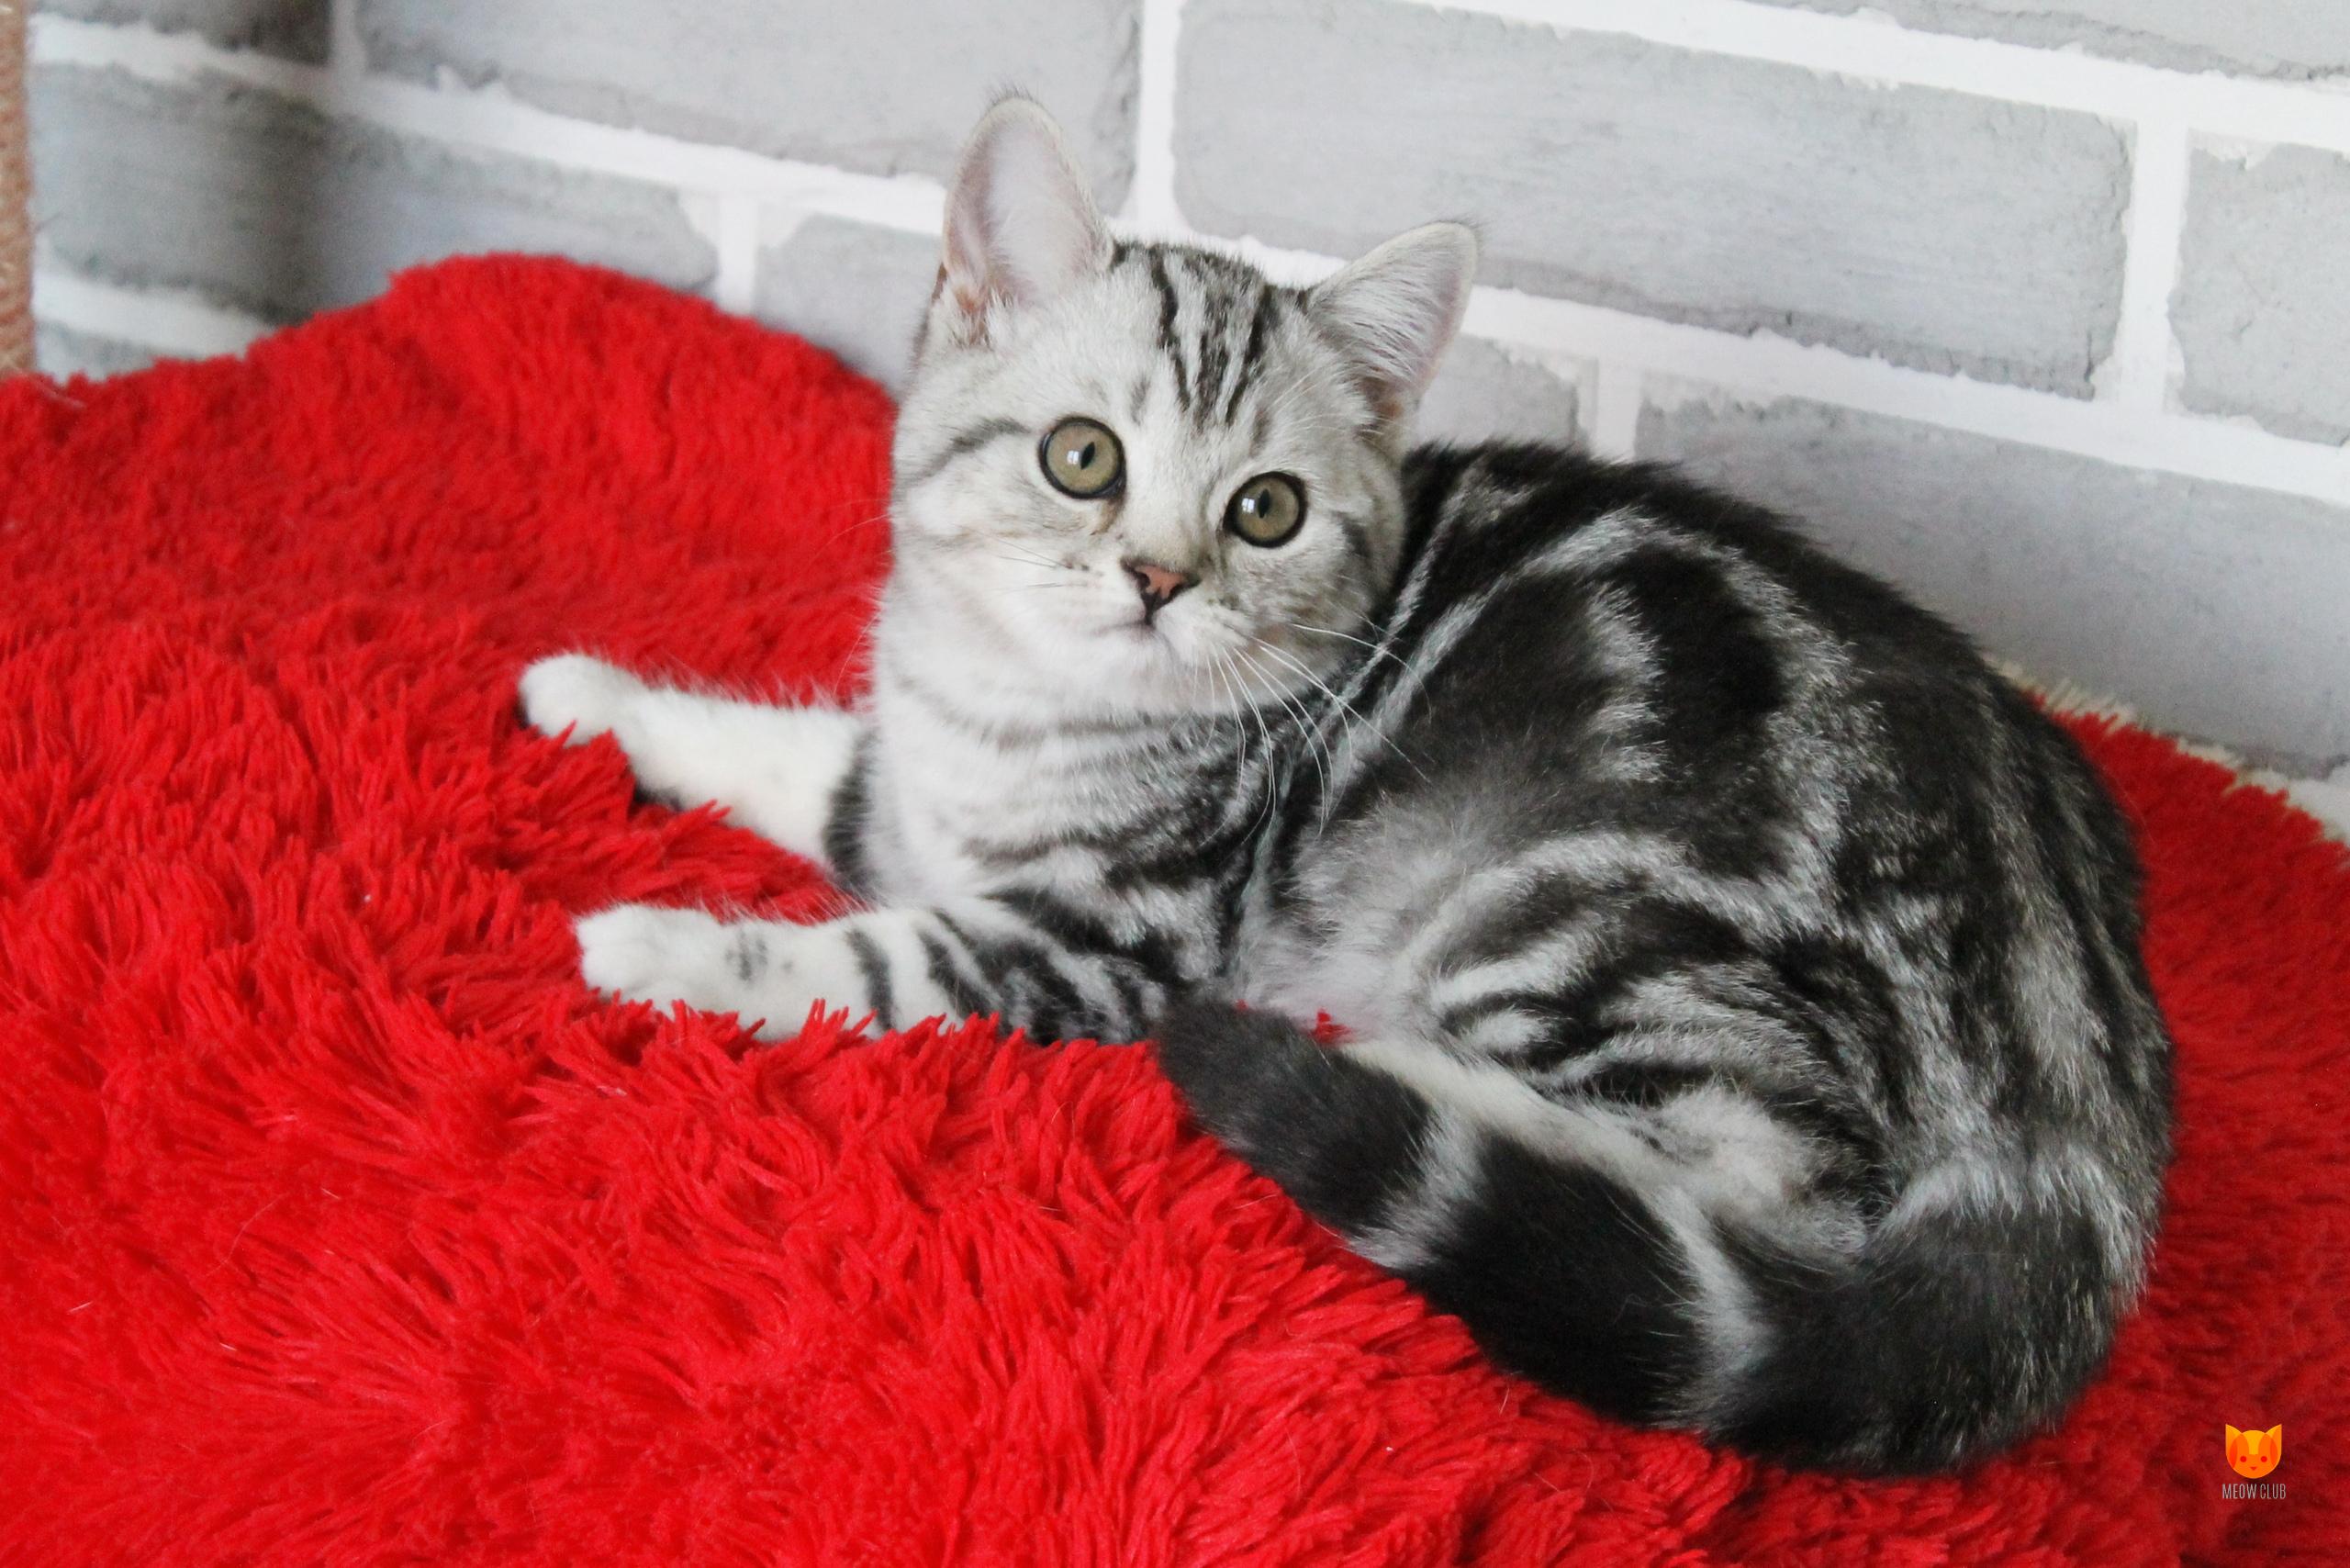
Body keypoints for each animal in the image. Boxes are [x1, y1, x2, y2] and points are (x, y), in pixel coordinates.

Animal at [520, 97, 2173, 1475]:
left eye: (1267, 510)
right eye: (1081, 458)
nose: (1157, 578)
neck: (1018, 709)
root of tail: (2077, 1036)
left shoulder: (1111, 945)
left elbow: (864, 962)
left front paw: (664, 944)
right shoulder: (905, 793)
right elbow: (810, 758)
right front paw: (601, 701)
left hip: (1561, 912)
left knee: (1766, 1178)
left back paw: (1375, 1063)